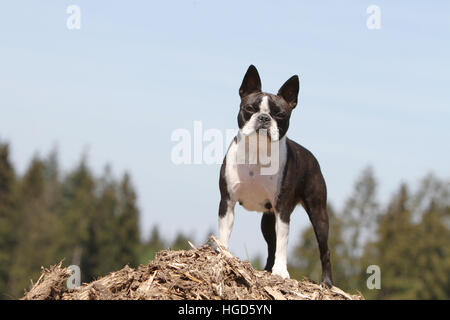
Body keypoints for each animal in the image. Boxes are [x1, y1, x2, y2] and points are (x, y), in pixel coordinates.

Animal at [220, 65, 332, 288]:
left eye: (280, 115)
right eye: (250, 109)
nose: (264, 118)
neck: (257, 152)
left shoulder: (282, 210)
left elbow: (283, 243)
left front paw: (280, 272)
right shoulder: (227, 201)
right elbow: (224, 233)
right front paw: (222, 256)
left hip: (319, 214)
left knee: (324, 250)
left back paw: (327, 283)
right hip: (267, 219)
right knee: (271, 244)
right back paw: (266, 269)